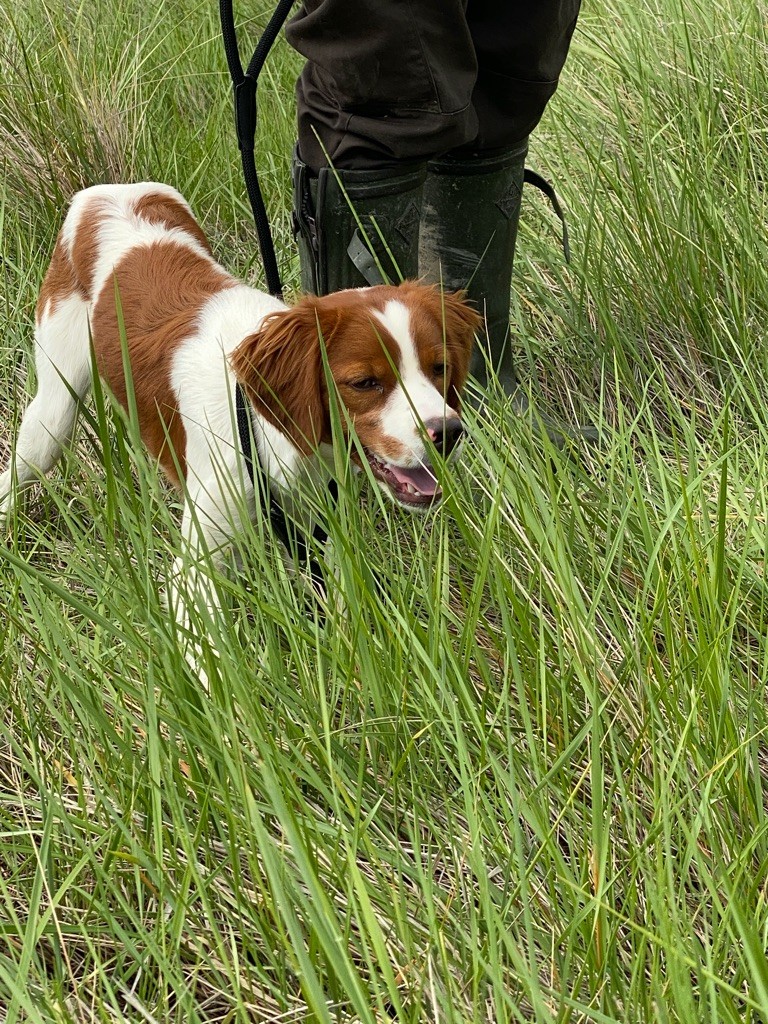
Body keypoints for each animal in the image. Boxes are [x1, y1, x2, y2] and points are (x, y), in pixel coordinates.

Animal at [0, 182, 481, 638]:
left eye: (439, 368)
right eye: (365, 383)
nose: (449, 432)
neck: (261, 425)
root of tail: (106, 191)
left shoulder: (324, 527)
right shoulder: (194, 573)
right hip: (54, 410)